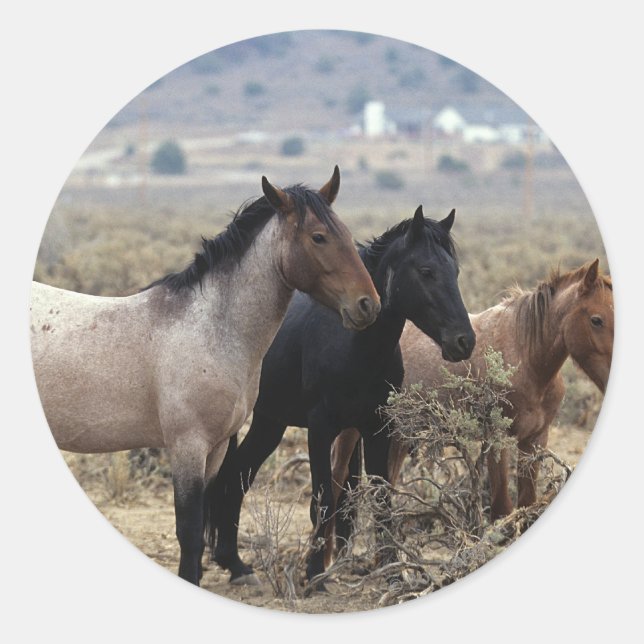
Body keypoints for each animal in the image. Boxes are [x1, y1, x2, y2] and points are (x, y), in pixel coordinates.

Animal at [30, 167, 381, 586]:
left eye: (345, 232)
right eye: (318, 237)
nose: (368, 305)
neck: (211, 328)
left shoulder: (214, 450)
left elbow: (203, 525)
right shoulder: (188, 447)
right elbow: (189, 530)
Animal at [206, 205, 476, 586]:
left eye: (455, 271)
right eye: (426, 271)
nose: (464, 341)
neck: (353, 346)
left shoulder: (376, 429)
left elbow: (380, 497)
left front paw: (392, 572)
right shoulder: (321, 429)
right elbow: (323, 499)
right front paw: (314, 572)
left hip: (270, 422)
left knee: (238, 475)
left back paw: (235, 564)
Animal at [330, 259, 613, 543]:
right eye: (596, 320)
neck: (527, 357)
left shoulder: (534, 441)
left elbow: (527, 505)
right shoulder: (496, 440)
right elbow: (502, 511)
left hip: (397, 435)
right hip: (352, 433)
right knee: (336, 481)